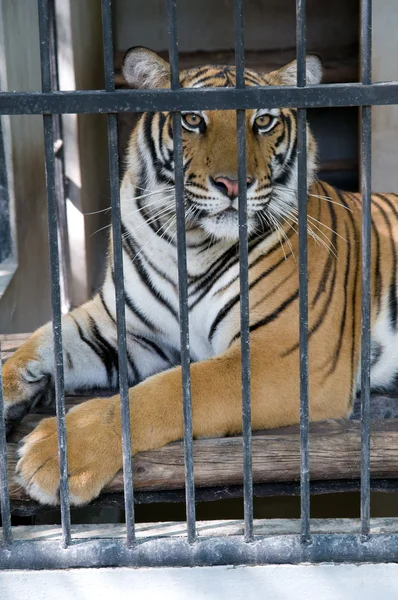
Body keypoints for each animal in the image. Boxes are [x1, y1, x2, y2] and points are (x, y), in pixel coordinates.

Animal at [3, 48, 398, 506]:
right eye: (192, 119)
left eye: (263, 121)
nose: (234, 184)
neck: (189, 244)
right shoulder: (123, 325)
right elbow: (41, 342)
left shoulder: (284, 355)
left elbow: (167, 391)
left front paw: (58, 453)